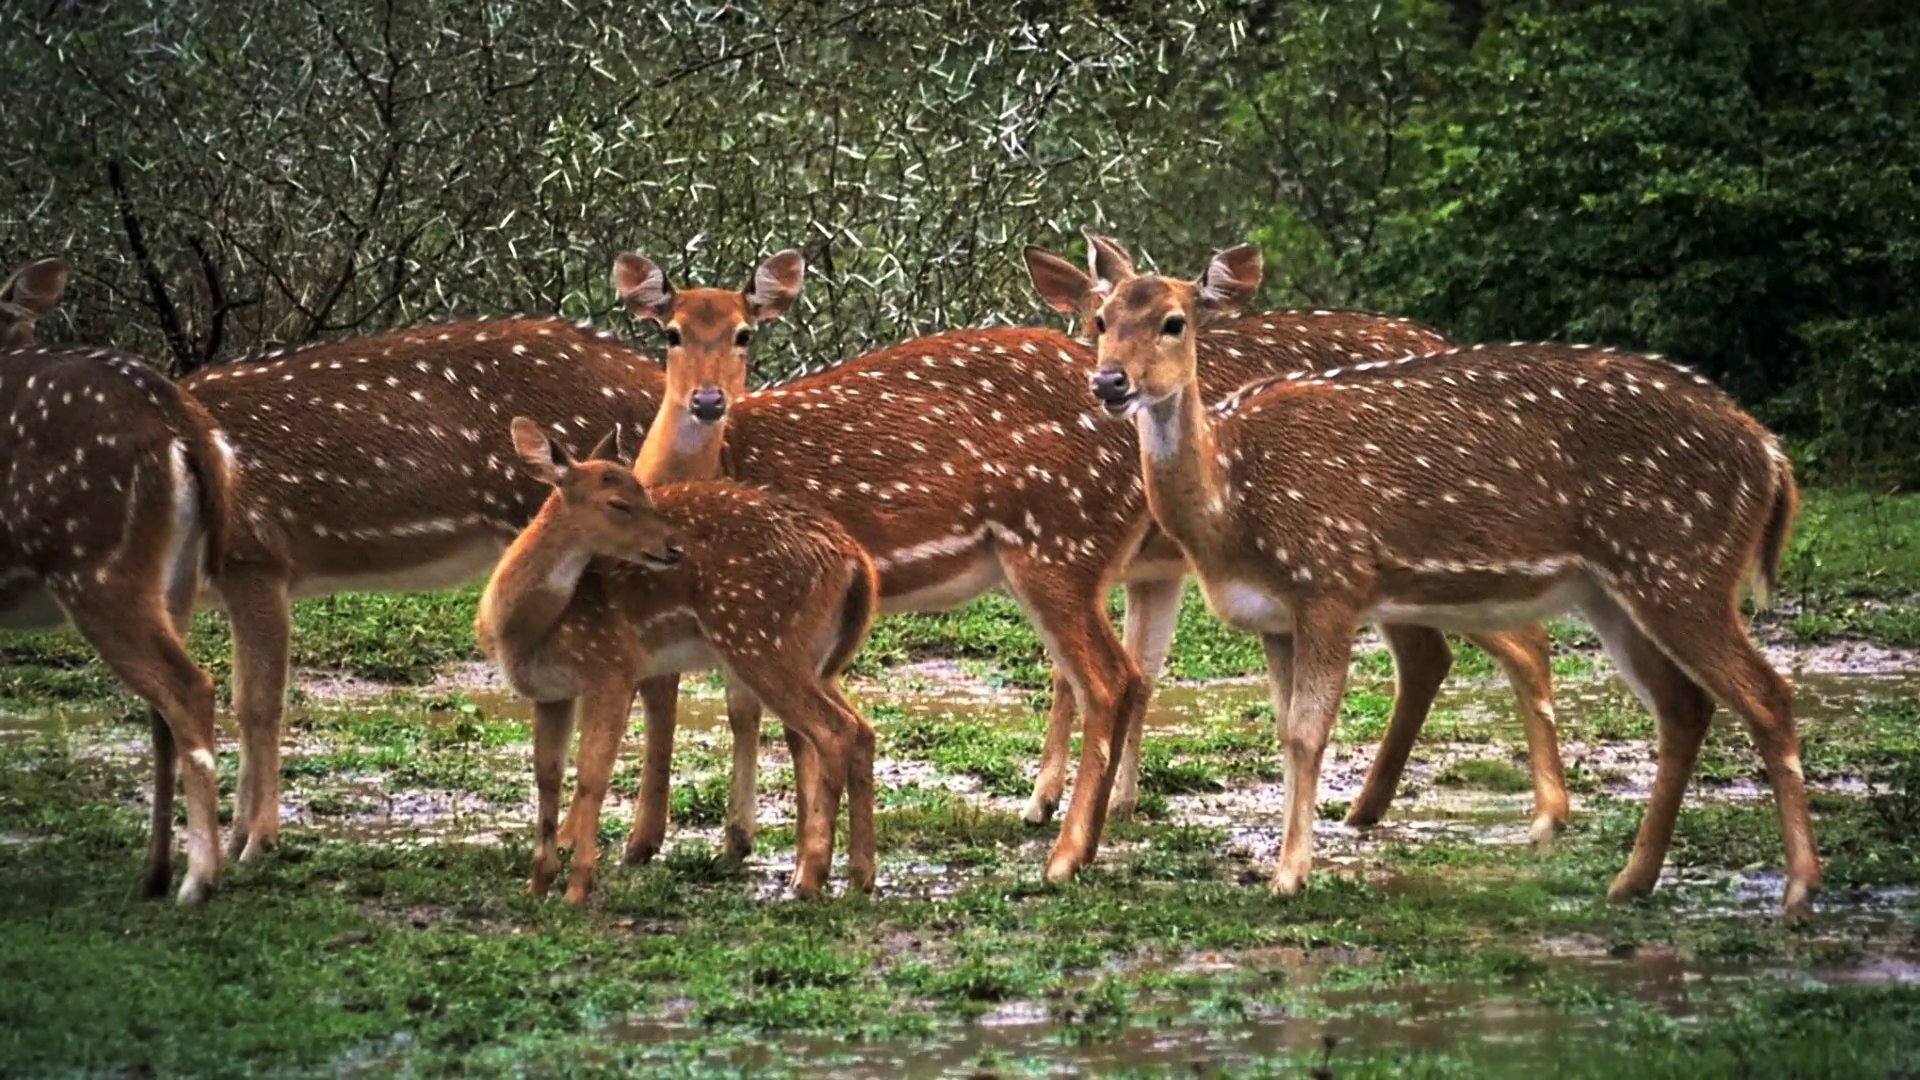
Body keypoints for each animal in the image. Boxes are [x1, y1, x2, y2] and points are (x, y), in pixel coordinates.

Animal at [0, 253, 233, 899]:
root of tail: (184, 426)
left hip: (94, 559)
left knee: (188, 687)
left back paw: (198, 880)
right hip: (174, 578)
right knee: (163, 711)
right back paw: (154, 874)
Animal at [476, 417, 875, 903]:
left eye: (646, 494)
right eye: (618, 503)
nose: (673, 548)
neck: (524, 630)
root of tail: (856, 561)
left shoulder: (612, 663)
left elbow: (593, 774)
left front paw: (578, 888)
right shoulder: (551, 692)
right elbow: (547, 776)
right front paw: (537, 885)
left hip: (758, 638)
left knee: (834, 731)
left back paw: (810, 877)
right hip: (817, 656)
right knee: (861, 729)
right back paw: (860, 876)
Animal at [1082, 235, 1812, 907]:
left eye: (1174, 321)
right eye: (1101, 319)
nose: (1110, 382)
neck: (1231, 498)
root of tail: (1772, 458)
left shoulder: (1330, 578)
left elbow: (1308, 732)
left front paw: (1290, 877)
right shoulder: (1274, 616)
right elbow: (1287, 732)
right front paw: (1290, 864)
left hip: (1682, 565)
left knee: (1767, 695)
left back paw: (1798, 889)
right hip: (1620, 590)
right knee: (1684, 705)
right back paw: (1631, 880)